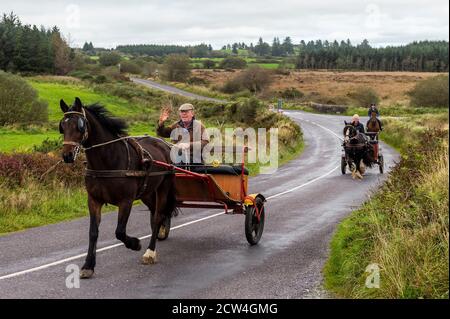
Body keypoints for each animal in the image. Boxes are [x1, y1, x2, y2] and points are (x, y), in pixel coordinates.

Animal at [59, 97, 178, 280]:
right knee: (155, 215)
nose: (67, 155)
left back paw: (150, 252)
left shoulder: (126, 201)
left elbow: (119, 231)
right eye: (62, 126)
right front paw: (88, 266)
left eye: (80, 125)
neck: (107, 161)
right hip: (147, 192)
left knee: (158, 216)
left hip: (163, 187)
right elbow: (93, 233)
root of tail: (164, 144)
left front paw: (135, 244)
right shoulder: (94, 200)